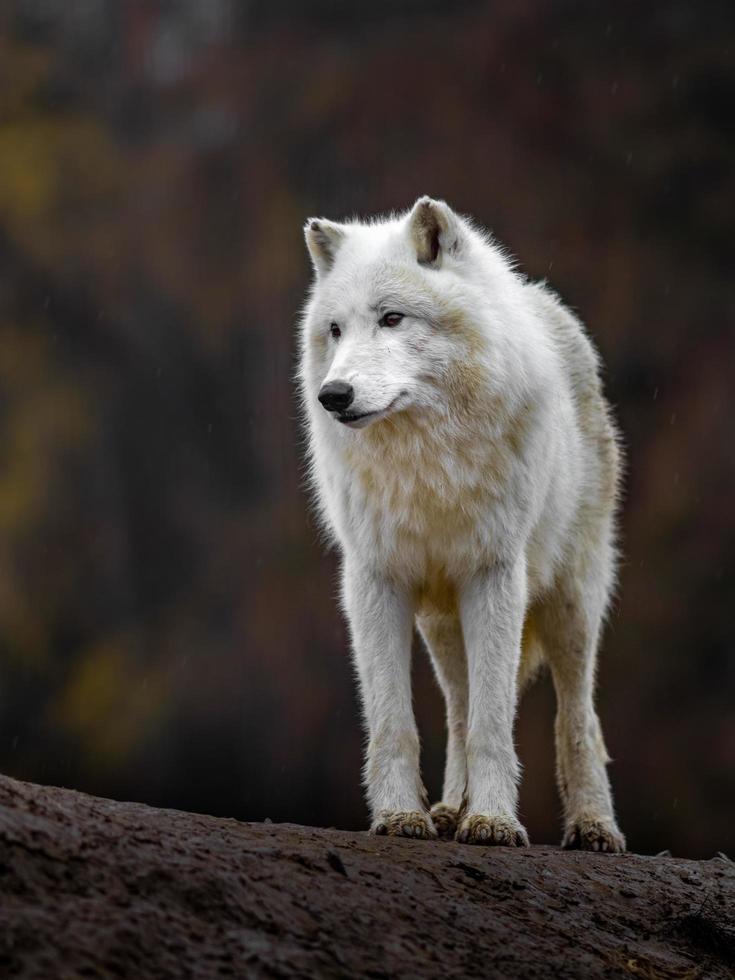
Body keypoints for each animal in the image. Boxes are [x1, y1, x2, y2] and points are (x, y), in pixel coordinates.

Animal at [300, 197, 628, 848]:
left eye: (392, 318)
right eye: (336, 330)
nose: (334, 394)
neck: (425, 465)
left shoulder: (494, 576)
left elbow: (493, 725)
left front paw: (495, 821)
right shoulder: (375, 580)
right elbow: (395, 722)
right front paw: (402, 816)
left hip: (572, 604)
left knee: (578, 716)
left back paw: (593, 826)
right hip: (441, 625)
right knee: (456, 708)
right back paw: (450, 808)